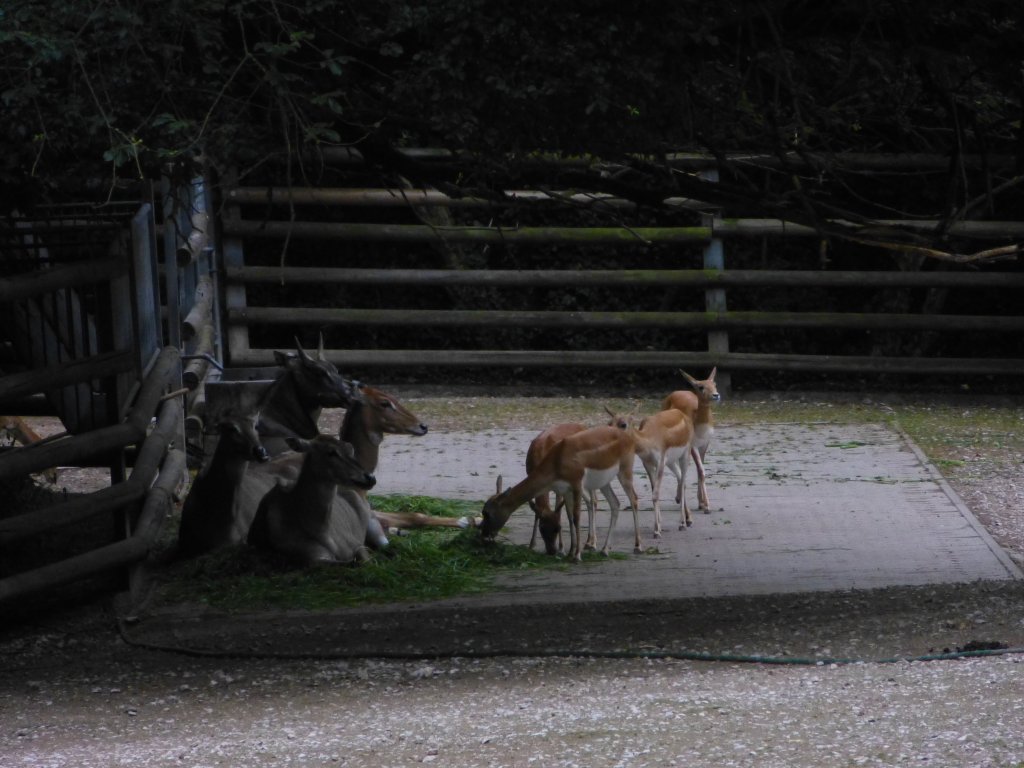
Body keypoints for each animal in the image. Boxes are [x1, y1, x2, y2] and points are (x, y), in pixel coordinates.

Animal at [247, 436, 380, 569]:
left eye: (350, 449)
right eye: (331, 452)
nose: (370, 478)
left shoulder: (354, 543)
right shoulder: (309, 554)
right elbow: (352, 562)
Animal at [479, 423, 638, 561]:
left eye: (487, 513)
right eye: (543, 528)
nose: (484, 535)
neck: (558, 458)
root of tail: (628, 437)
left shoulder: (576, 485)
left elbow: (575, 516)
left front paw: (576, 556)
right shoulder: (565, 489)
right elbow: (569, 516)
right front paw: (570, 552)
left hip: (624, 471)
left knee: (633, 499)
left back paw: (637, 546)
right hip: (604, 483)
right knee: (614, 503)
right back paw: (604, 550)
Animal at [659, 370, 724, 514]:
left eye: (714, 383)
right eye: (701, 386)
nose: (716, 395)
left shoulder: (705, 444)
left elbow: (701, 470)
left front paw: (701, 504)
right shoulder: (693, 445)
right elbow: (701, 470)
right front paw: (707, 506)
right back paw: (678, 498)